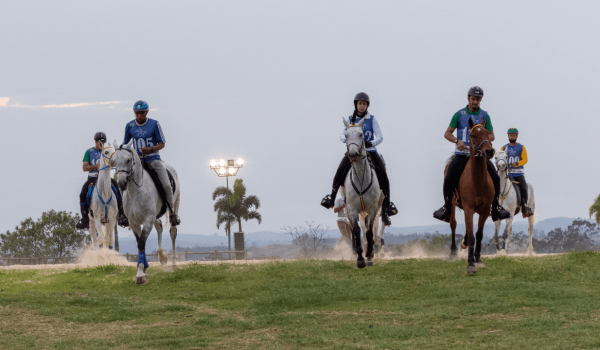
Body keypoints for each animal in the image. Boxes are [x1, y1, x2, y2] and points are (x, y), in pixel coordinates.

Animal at [111, 138, 179, 284]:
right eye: (114, 160)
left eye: (128, 160)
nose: (121, 183)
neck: (135, 190)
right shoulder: (134, 222)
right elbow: (139, 244)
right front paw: (143, 269)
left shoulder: (147, 220)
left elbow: (142, 243)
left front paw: (141, 273)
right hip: (155, 215)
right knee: (159, 226)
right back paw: (162, 257)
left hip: (175, 204)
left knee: (173, 231)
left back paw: (174, 263)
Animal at [342, 117, 384, 268]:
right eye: (346, 135)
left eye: (361, 134)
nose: (353, 154)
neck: (361, 178)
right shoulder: (352, 208)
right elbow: (356, 230)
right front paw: (360, 259)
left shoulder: (373, 209)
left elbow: (369, 231)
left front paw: (369, 257)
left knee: (369, 230)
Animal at [448, 117, 494, 274]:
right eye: (473, 135)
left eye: (487, 134)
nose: (489, 151)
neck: (478, 181)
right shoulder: (468, 209)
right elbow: (472, 235)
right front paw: (470, 264)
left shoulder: (485, 210)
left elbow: (478, 235)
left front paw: (477, 259)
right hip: (452, 204)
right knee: (453, 224)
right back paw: (453, 252)